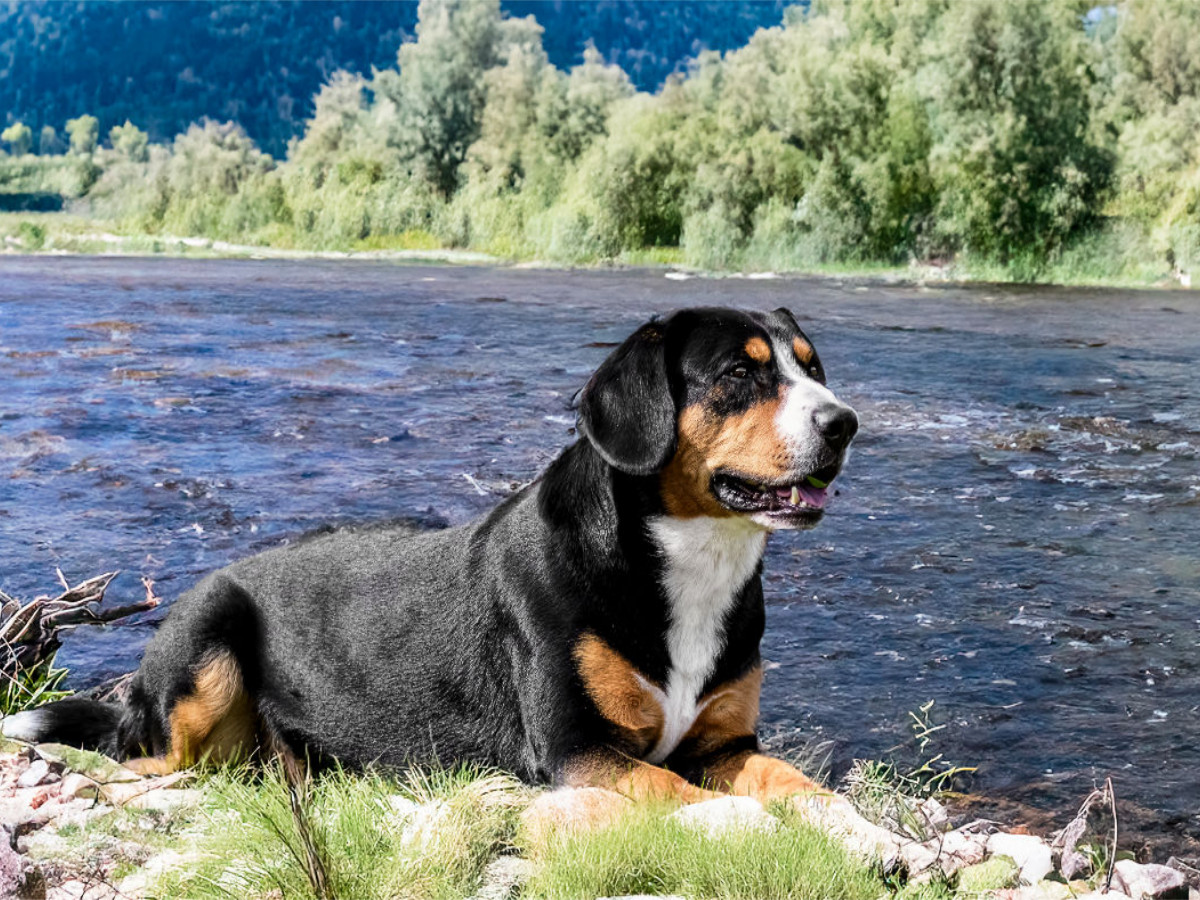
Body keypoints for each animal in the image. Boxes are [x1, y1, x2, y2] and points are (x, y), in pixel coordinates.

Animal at [2, 304, 873, 816]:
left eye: (812, 367)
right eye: (739, 372)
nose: (844, 423)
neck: (686, 562)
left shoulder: (725, 746)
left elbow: (803, 788)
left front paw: (866, 838)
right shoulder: (576, 751)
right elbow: (687, 796)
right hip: (205, 649)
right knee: (143, 759)